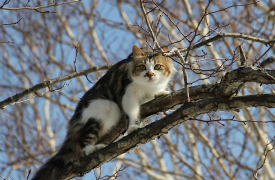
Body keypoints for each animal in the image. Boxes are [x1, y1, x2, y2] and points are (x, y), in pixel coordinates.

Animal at [32, 45, 175, 180]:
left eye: (157, 66)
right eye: (142, 67)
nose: (150, 74)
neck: (148, 88)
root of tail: (73, 122)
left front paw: (160, 93)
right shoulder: (129, 94)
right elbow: (133, 112)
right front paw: (134, 127)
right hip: (107, 107)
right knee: (84, 141)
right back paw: (93, 148)